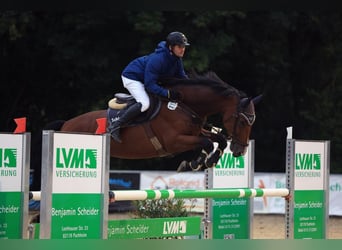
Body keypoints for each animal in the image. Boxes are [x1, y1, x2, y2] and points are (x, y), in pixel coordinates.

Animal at [56, 71, 260, 172]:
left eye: (252, 122)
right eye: (243, 122)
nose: (240, 151)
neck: (184, 105)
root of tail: (66, 124)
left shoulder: (196, 132)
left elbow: (219, 140)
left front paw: (207, 161)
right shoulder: (174, 141)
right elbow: (207, 143)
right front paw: (196, 163)